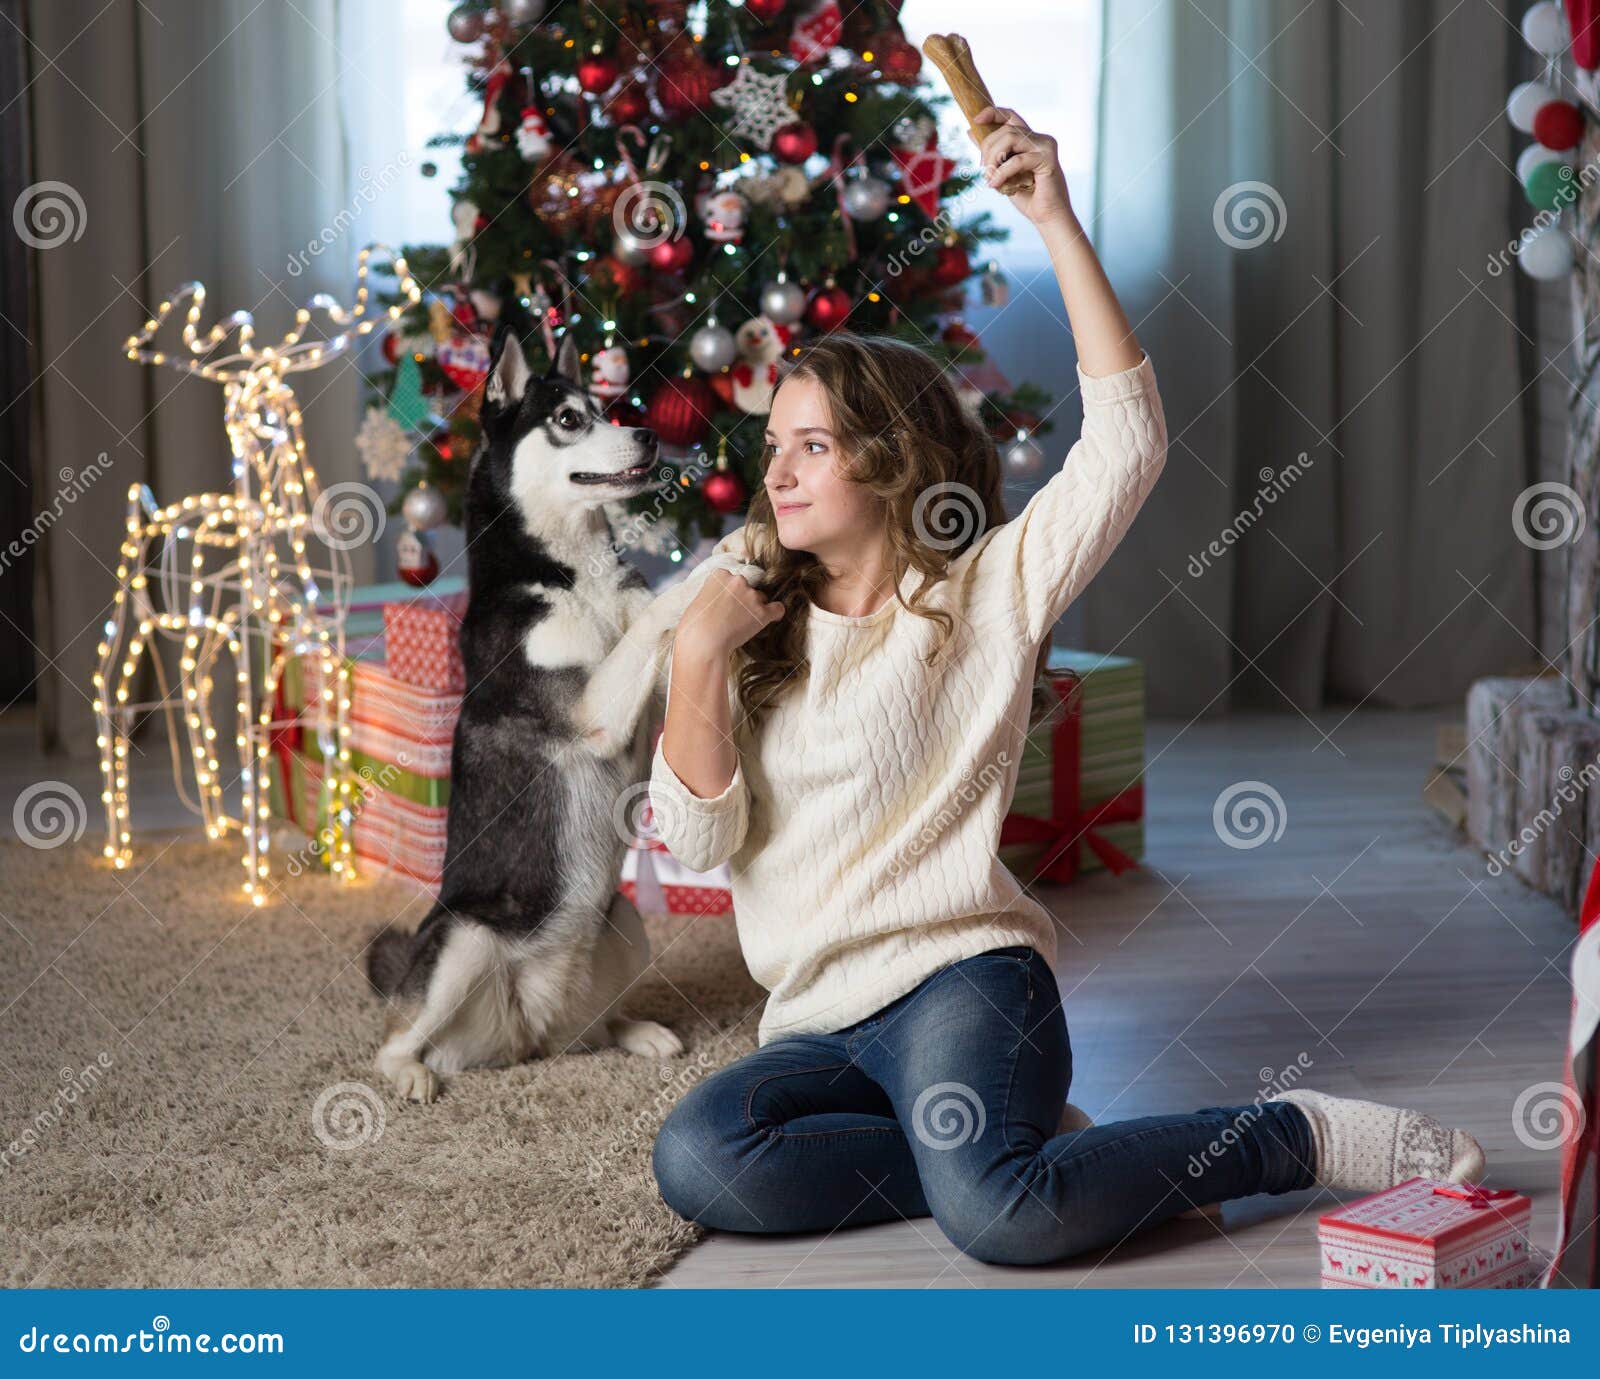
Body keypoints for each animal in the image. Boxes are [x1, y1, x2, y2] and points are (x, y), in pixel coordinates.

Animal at [364, 329, 761, 1107]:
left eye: (606, 406)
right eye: (570, 420)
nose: (647, 433)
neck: (574, 576)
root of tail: (530, 1033)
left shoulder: (652, 708)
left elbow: (658, 639)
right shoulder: (589, 711)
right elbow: (661, 616)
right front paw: (708, 572)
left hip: (625, 918)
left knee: (593, 1028)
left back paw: (634, 1031)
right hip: (465, 939)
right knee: (394, 1040)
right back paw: (408, 1072)